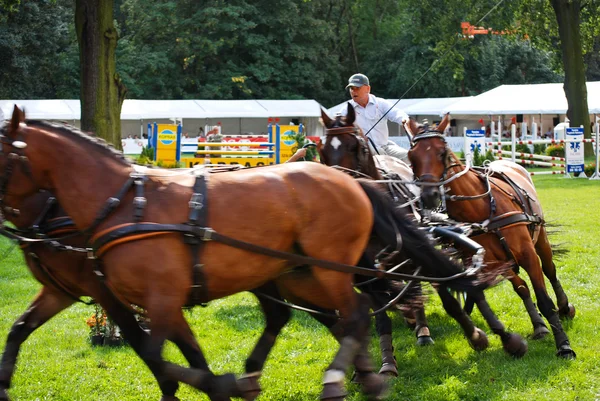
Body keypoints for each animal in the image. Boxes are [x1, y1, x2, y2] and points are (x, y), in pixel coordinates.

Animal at [0, 106, 480, 400]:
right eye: (326, 147)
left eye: (359, 146)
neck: (121, 203)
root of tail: (353, 185)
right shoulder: (103, 294)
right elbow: (21, 330)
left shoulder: (151, 297)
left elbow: (156, 352)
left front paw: (217, 384)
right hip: (297, 273)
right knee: (335, 315)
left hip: (329, 269)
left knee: (359, 311)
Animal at [316, 103, 528, 356]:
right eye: (322, 151)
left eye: (355, 147)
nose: (338, 194)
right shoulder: (367, 275)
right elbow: (381, 317)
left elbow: (451, 300)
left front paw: (482, 336)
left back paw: (422, 328)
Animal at [408, 113, 576, 360]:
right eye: (412, 156)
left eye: (443, 152)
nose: (429, 195)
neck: (482, 211)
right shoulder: (485, 262)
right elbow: (507, 290)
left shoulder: (527, 254)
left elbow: (545, 300)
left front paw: (563, 345)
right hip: (503, 262)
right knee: (521, 287)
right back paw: (538, 326)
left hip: (540, 239)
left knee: (550, 270)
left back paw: (563, 307)